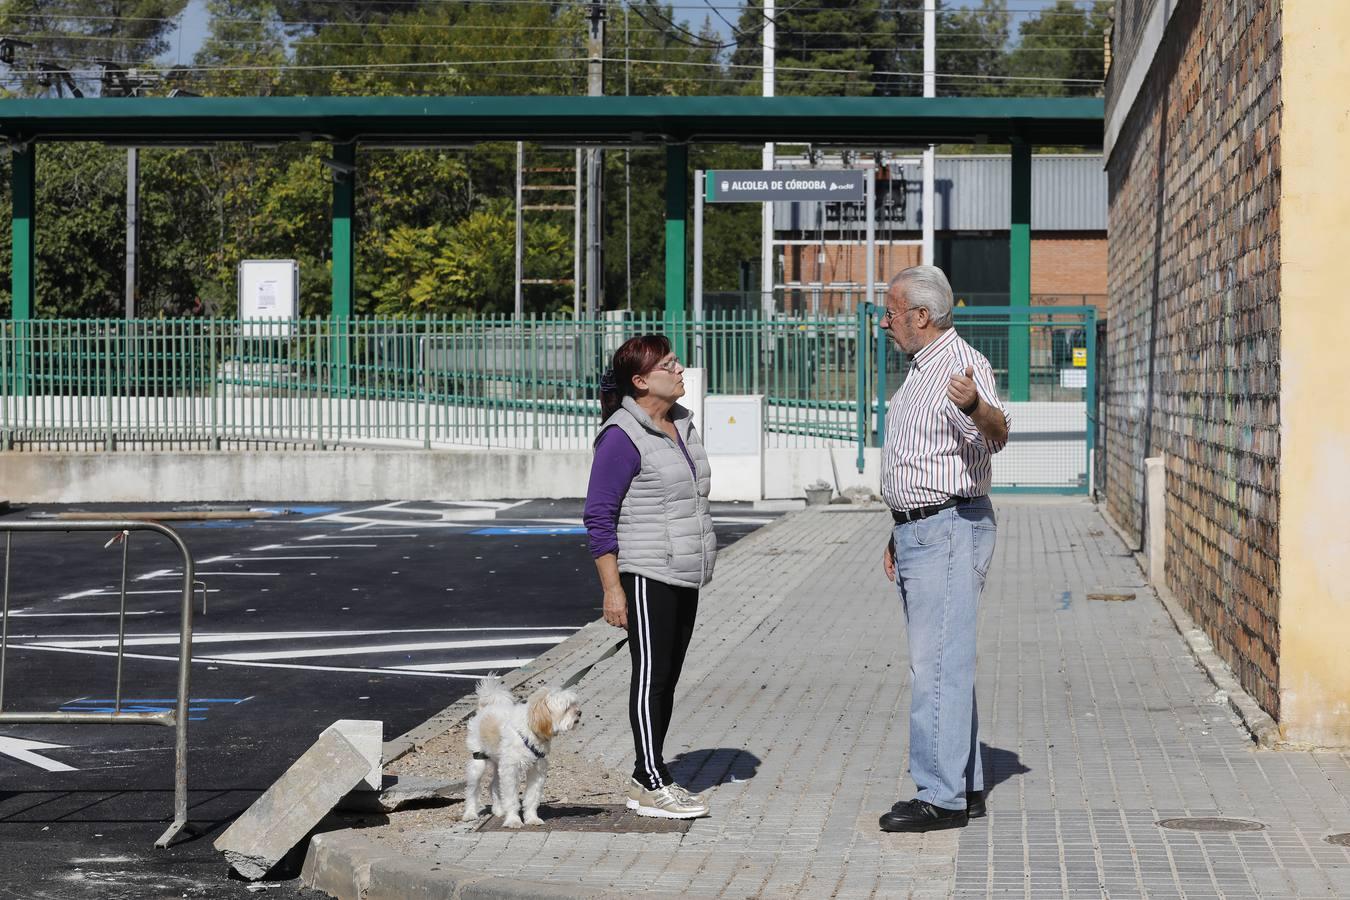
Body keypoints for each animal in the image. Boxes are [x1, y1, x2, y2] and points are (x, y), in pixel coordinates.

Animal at [461, 674, 577, 831]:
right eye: (567, 708)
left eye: (575, 705)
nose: (579, 712)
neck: (530, 728)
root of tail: (484, 709)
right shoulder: (511, 771)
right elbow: (511, 799)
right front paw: (513, 820)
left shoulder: (537, 770)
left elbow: (532, 798)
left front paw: (532, 818)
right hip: (478, 762)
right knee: (472, 790)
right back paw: (470, 813)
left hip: (499, 763)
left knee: (494, 785)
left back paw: (499, 810)